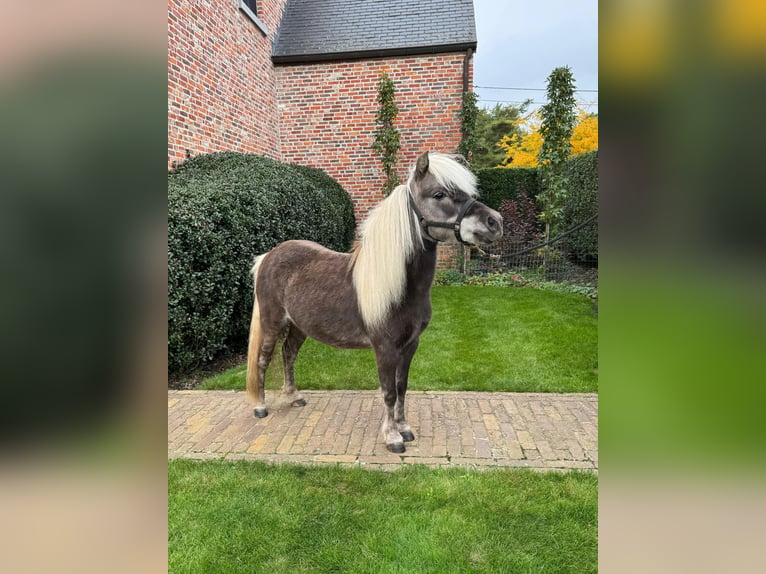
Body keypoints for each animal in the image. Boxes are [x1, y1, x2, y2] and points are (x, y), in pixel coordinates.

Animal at [246, 152, 508, 454]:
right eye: (439, 194)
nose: (495, 222)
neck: (399, 287)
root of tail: (268, 256)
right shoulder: (385, 348)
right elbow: (389, 391)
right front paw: (392, 437)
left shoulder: (410, 345)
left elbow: (402, 386)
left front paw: (405, 428)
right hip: (273, 323)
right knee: (263, 359)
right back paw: (260, 407)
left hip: (299, 327)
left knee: (289, 354)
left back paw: (294, 397)